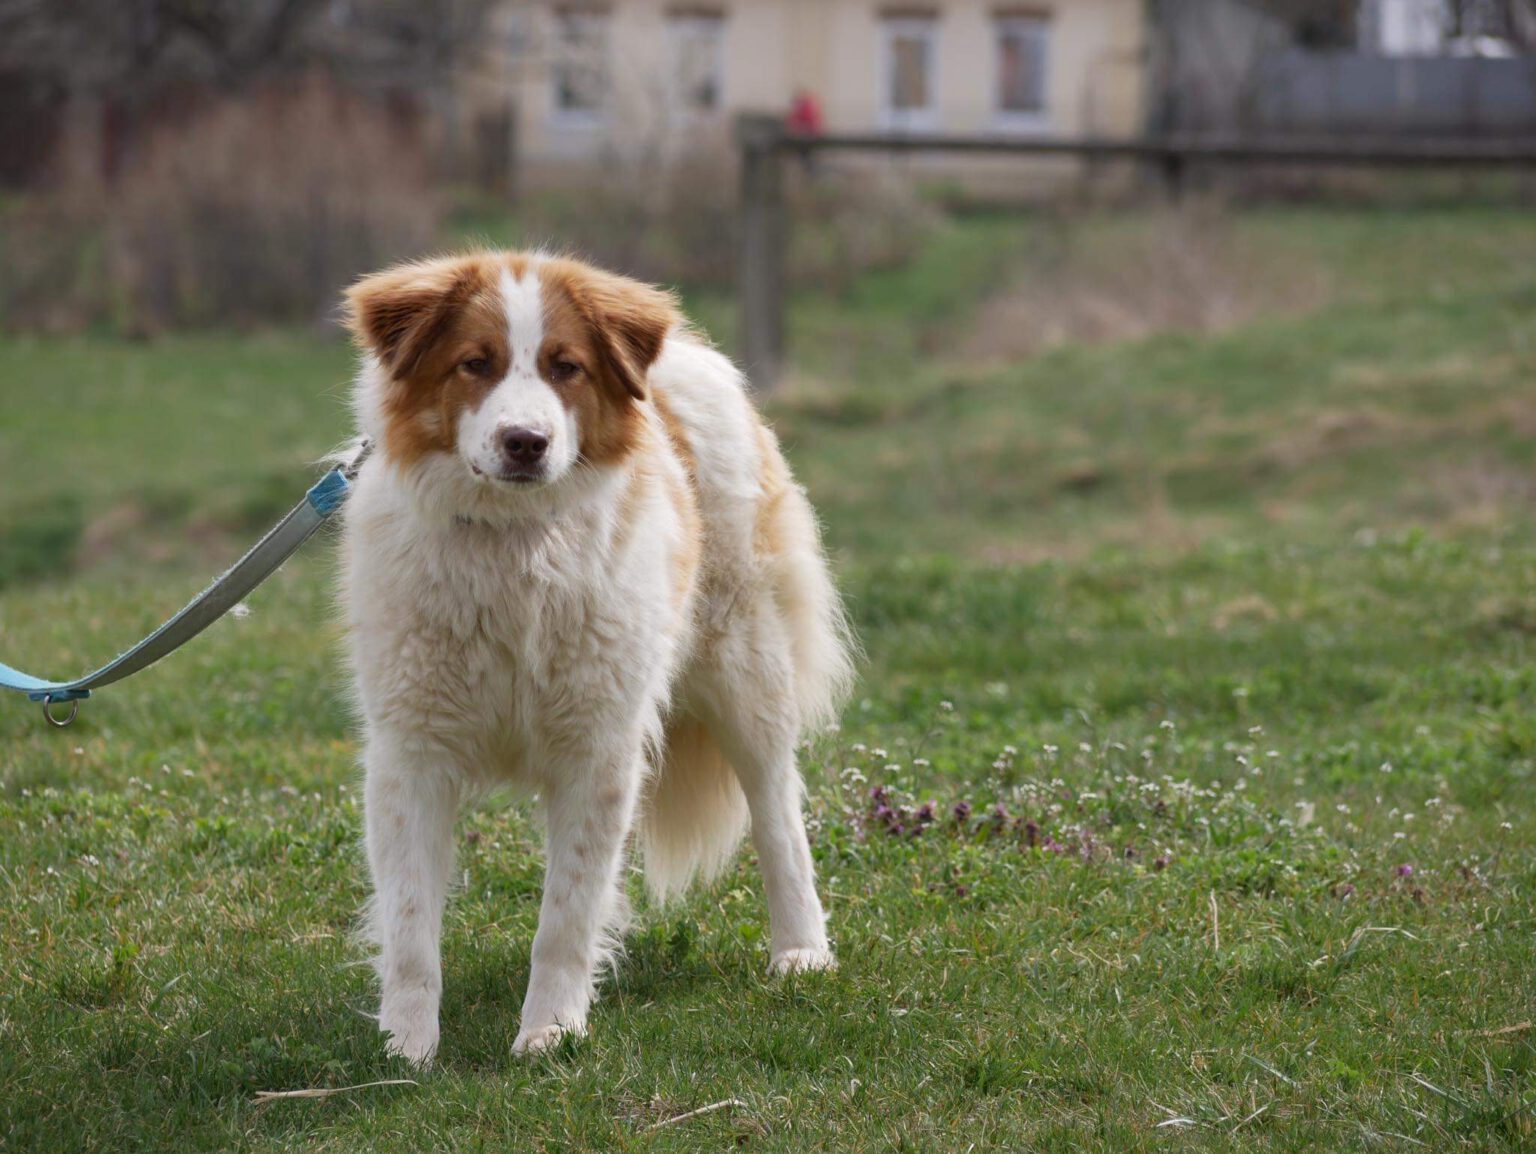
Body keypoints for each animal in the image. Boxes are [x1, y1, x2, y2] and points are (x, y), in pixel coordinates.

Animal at [337, 250, 860, 1063]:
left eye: (566, 368)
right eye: (475, 363)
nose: (526, 441)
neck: (515, 546)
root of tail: (687, 352)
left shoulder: (598, 749)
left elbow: (566, 915)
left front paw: (549, 1032)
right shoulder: (410, 755)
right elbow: (411, 923)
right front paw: (406, 1049)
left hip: (748, 676)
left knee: (778, 813)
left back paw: (801, 951)